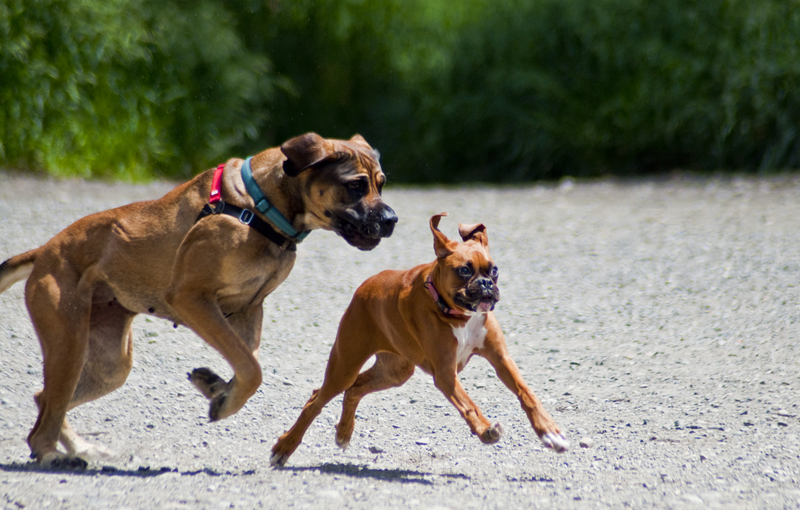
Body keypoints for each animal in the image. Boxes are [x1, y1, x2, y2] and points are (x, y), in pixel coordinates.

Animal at [0, 132, 398, 470]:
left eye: (381, 183)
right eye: (355, 185)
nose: (392, 219)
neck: (261, 206)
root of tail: (45, 251)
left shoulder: (248, 309)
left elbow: (247, 361)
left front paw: (218, 389)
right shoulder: (193, 300)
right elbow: (251, 368)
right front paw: (222, 396)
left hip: (109, 364)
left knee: (44, 398)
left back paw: (80, 447)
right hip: (69, 344)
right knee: (44, 417)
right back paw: (53, 454)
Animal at [270, 212, 568, 466]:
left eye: (493, 270)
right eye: (464, 271)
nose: (485, 284)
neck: (459, 315)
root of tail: (366, 286)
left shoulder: (501, 360)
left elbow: (526, 394)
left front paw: (550, 433)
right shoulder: (446, 373)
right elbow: (469, 405)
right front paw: (485, 430)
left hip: (395, 372)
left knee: (354, 389)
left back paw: (343, 432)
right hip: (345, 366)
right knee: (317, 399)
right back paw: (284, 447)